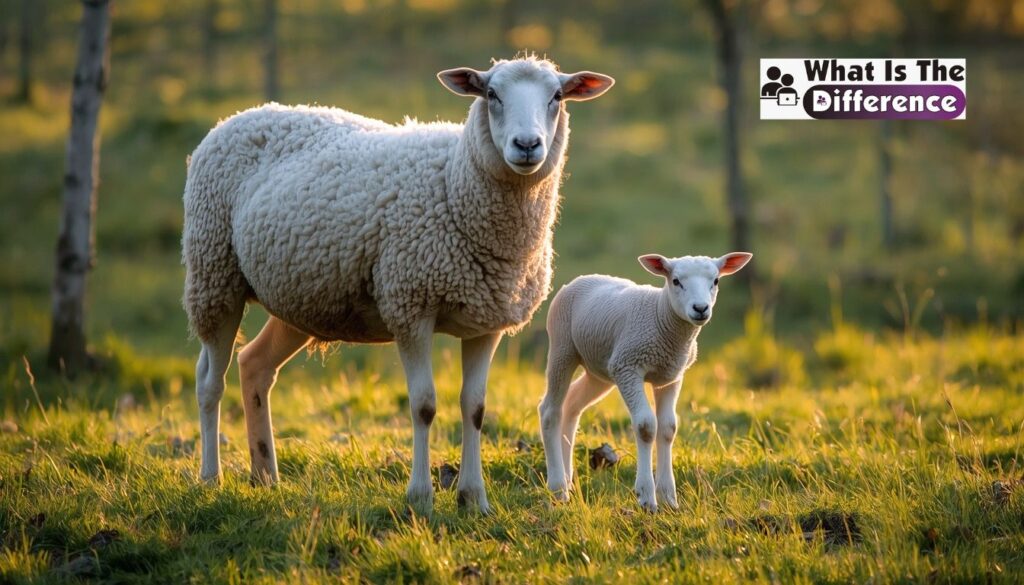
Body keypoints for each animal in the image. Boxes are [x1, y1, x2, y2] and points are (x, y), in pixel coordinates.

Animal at [181, 56, 614, 515]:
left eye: (557, 96)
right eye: (492, 94)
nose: (528, 145)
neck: (454, 184)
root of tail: (239, 115)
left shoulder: (486, 322)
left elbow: (475, 408)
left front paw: (474, 499)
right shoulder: (410, 307)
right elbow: (423, 406)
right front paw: (421, 497)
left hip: (298, 297)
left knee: (255, 366)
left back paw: (265, 475)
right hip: (214, 273)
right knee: (209, 380)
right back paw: (211, 477)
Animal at [538, 252, 752, 512]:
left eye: (716, 281)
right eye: (676, 281)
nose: (701, 308)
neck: (661, 317)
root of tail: (578, 280)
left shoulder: (670, 377)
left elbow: (668, 428)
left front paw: (669, 497)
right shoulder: (628, 367)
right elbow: (646, 426)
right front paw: (647, 497)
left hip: (600, 368)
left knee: (571, 406)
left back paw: (568, 480)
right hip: (563, 346)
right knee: (550, 410)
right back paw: (558, 487)